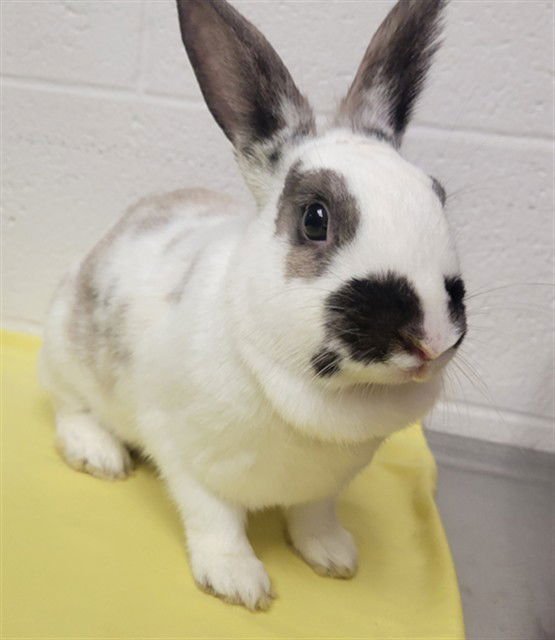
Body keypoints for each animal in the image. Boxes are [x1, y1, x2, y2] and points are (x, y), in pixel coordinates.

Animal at [39, 0, 466, 611]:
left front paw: (334, 556)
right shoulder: (186, 456)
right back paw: (99, 453)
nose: (430, 338)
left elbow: (314, 517)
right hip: (64, 353)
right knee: (68, 407)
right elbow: (215, 520)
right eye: (315, 218)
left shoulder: (324, 488)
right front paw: (238, 581)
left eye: (439, 195)